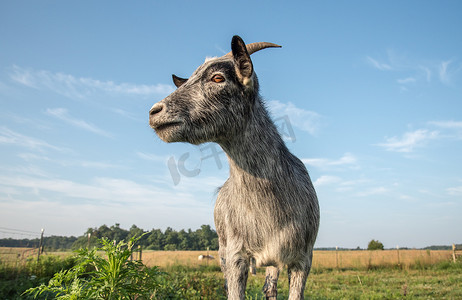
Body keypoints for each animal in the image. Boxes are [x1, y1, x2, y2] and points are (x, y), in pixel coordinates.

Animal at [150, 35, 320, 300]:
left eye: (218, 78)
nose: (155, 112)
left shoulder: (303, 259)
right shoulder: (235, 257)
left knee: (269, 287)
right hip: (222, 249)